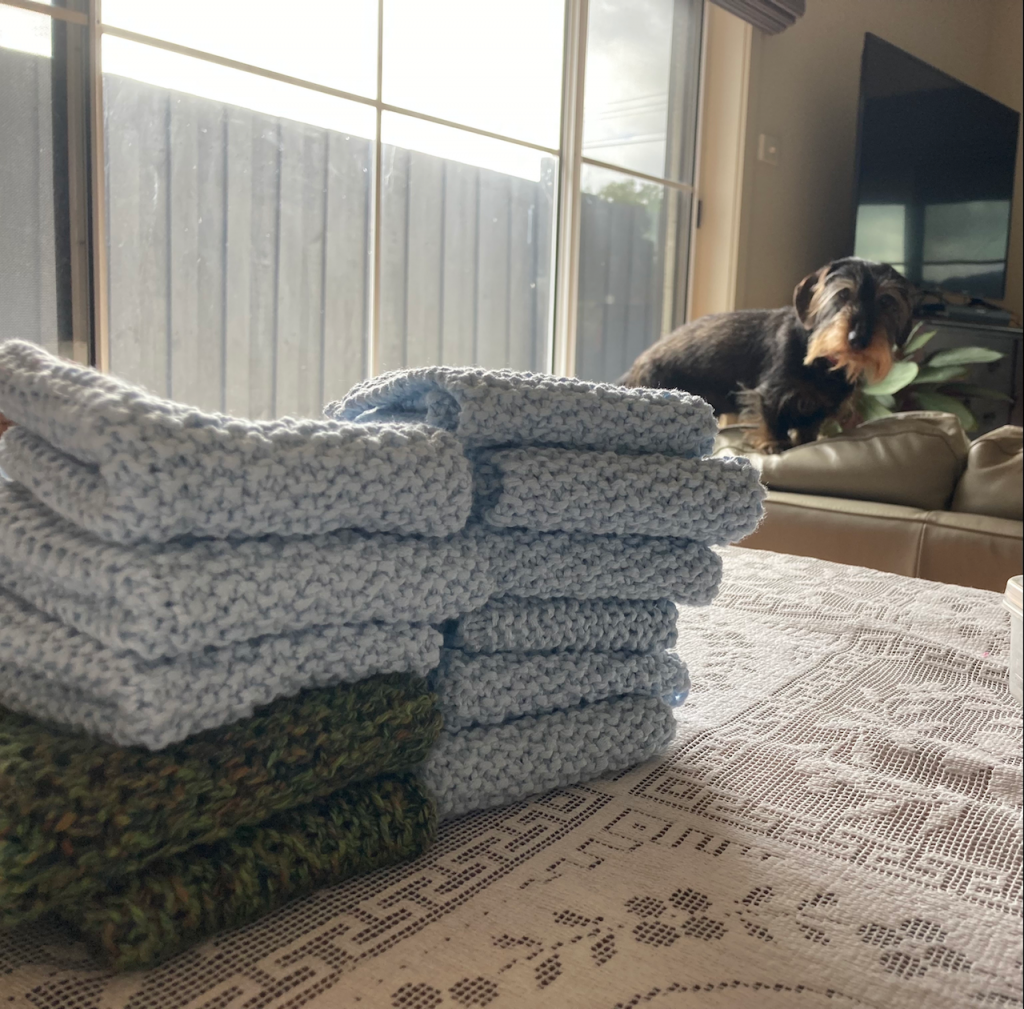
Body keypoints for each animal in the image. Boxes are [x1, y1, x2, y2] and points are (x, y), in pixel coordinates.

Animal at [618, 258, 917, 450]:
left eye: (886, 301)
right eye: (843, 294)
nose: (858, 340)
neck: (822, 364)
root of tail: (632, 370)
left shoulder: (819, 409)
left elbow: (808, 430)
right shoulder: (772, 393)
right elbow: (773, 420)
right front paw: (774, 444)